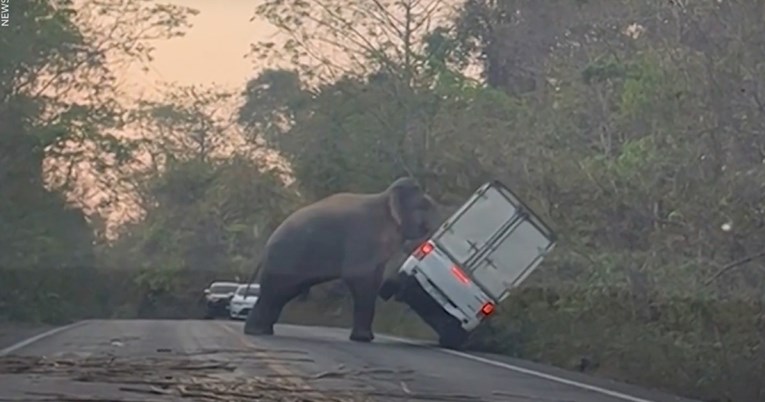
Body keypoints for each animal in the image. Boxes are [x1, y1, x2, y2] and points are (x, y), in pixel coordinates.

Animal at [243, 177, 436, 342]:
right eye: (424, 206)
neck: (385, 196)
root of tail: (266, 247)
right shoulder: (363, 237)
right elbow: (359, 277)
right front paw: (363, 339)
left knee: (281, 295)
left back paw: (263, 330)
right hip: (284, 260)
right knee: (275, 293)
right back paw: (257, 332)